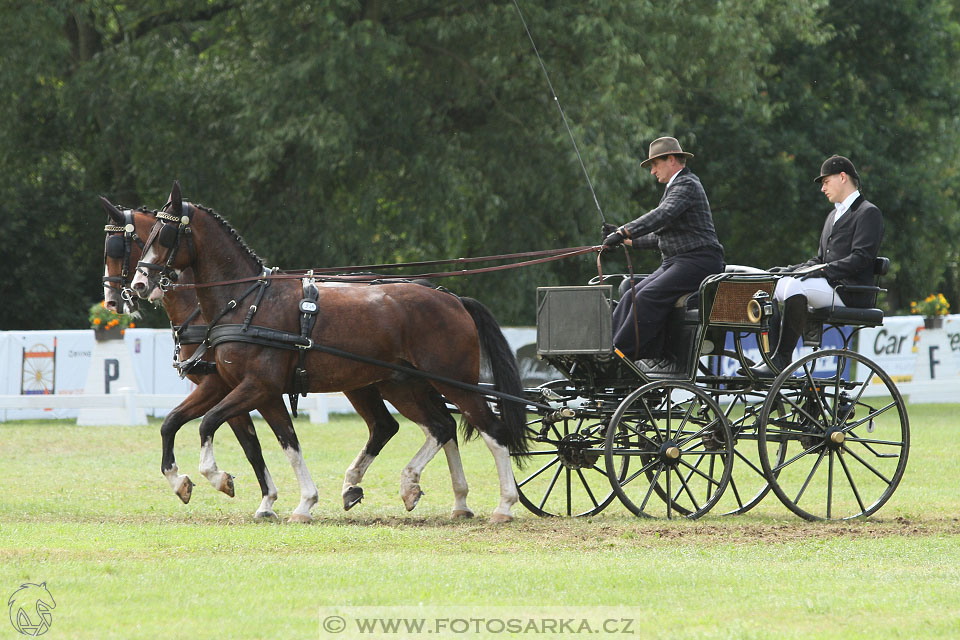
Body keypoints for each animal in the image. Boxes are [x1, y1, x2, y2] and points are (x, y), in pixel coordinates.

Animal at [127, 182, 528, 524]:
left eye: (164, 235)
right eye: (146, 236)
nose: (139, 284)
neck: (247, 301)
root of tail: (452, 298)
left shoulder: (256, 386)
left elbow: (209, 424)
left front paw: (219, 477)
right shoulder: (246, 388)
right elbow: (278, 440)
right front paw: (300, 503)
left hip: (454, 382)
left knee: (491, 431)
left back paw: (503, 505)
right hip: (403, 384)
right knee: (439, 427)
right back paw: (424, 491)